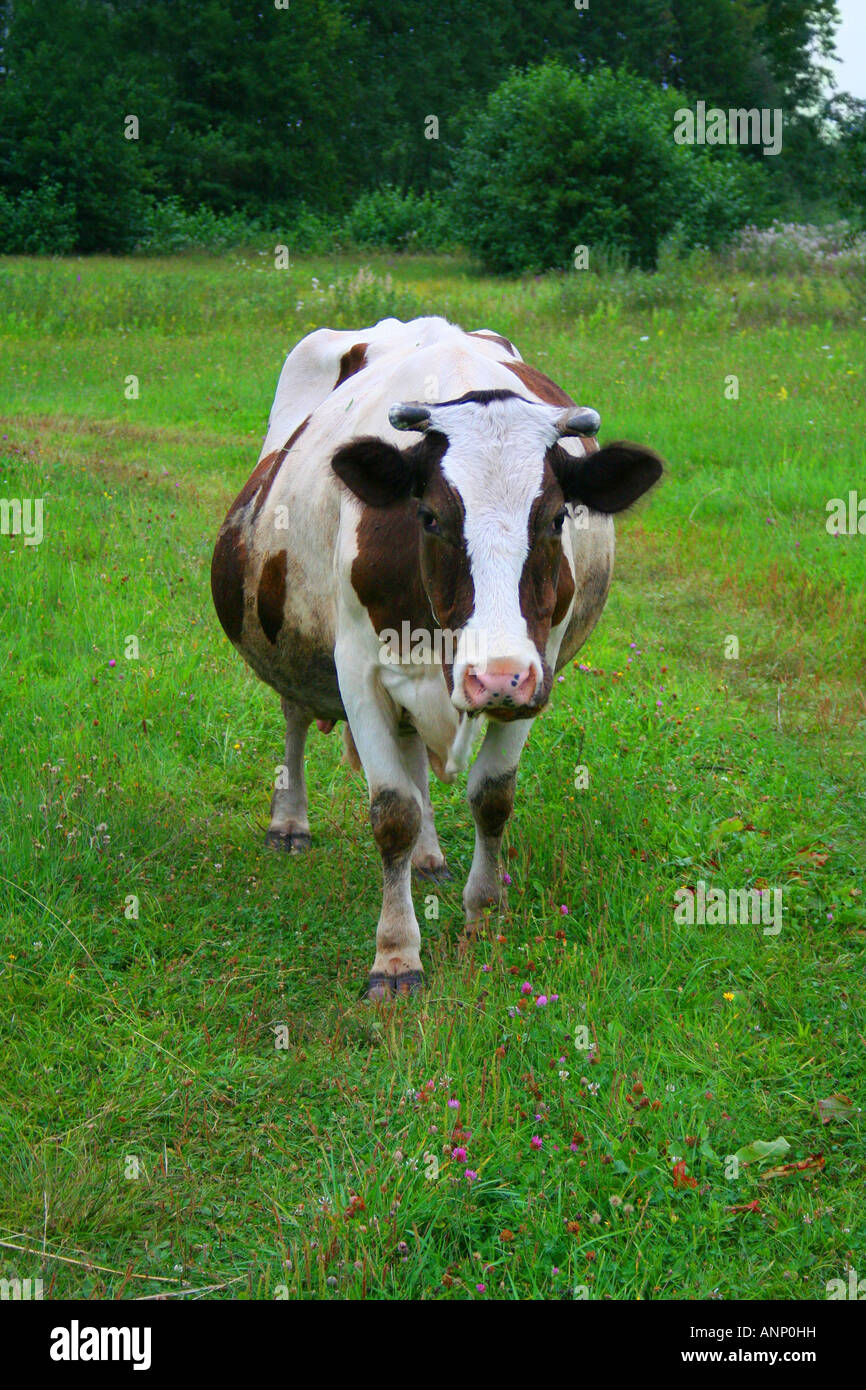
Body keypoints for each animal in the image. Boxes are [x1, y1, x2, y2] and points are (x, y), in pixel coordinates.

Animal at [211, 316, 663, 998]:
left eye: (558, 517)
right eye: (428, 516)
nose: (495, 677)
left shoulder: (538, 667)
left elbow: (491, 796)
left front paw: (485, 914)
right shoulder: (358, 669)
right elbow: (391, 811)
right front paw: (396, 955)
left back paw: (428, 859)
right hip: (288, 633)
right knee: (295, 716)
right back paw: (290, 824)